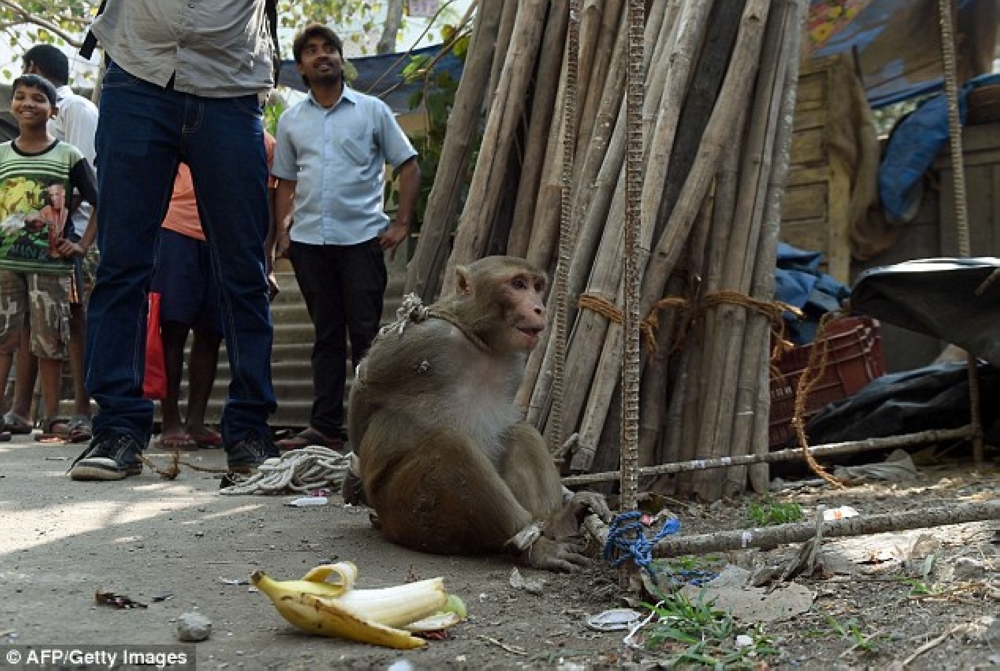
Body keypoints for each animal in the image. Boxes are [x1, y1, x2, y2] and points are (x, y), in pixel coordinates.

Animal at [344, 258, 608, 572]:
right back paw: (535, 547)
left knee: (522, 432)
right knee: (453, 448)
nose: (539, 308)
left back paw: (558, 522)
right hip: (405, 511)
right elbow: (364, 385)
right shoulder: (423, 338)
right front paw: (355, 476)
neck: (482, 342)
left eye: (537, 286)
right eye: (518, 284)